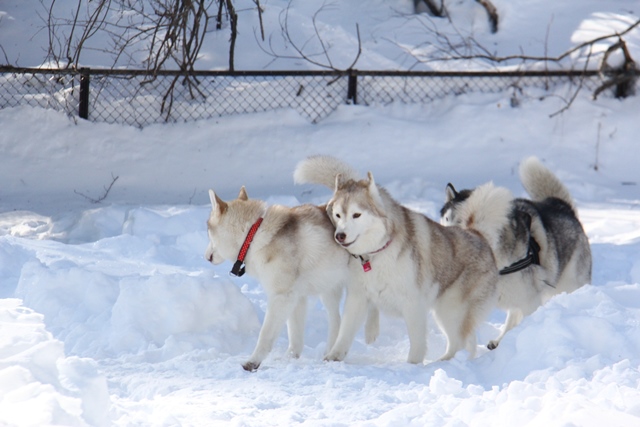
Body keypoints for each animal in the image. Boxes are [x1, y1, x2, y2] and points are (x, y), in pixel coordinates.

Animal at [205, 187, 356, 372]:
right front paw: (289, 359)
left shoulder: (282, 297)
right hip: (329, 289)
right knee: (336, 319)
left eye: (208, 232)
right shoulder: (297, 297)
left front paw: (252, 362)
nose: (206, 257)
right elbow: (295, 336)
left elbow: (265, 335)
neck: (253, 235)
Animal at [296, 157, 500, 364]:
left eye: (356, 215)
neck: (377, 253)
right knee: (466, 340)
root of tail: (478, 235)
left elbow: (417, 345)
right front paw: (333, 357)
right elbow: (345, 332)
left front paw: (412, 366)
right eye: (338, 215)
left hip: (450, 310)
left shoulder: (413, 304)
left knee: (458, 341)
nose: (340, 236)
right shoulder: (358, 297)